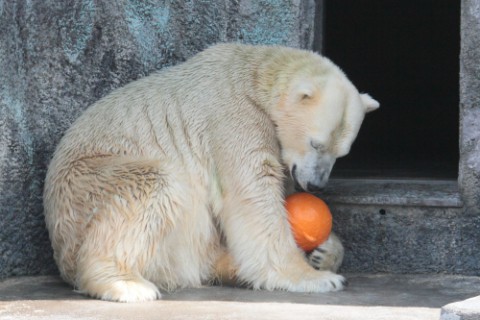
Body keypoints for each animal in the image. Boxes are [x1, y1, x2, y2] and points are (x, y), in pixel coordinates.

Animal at [43, 43, 378, 302]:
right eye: (315, 143)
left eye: (341, 154)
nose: (316, 185)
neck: (254, 78)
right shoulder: (233, 120)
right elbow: (254, 195)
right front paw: (314, 278)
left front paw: (324, 251)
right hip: (85, 188)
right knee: (152, 185)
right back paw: (126, 284)